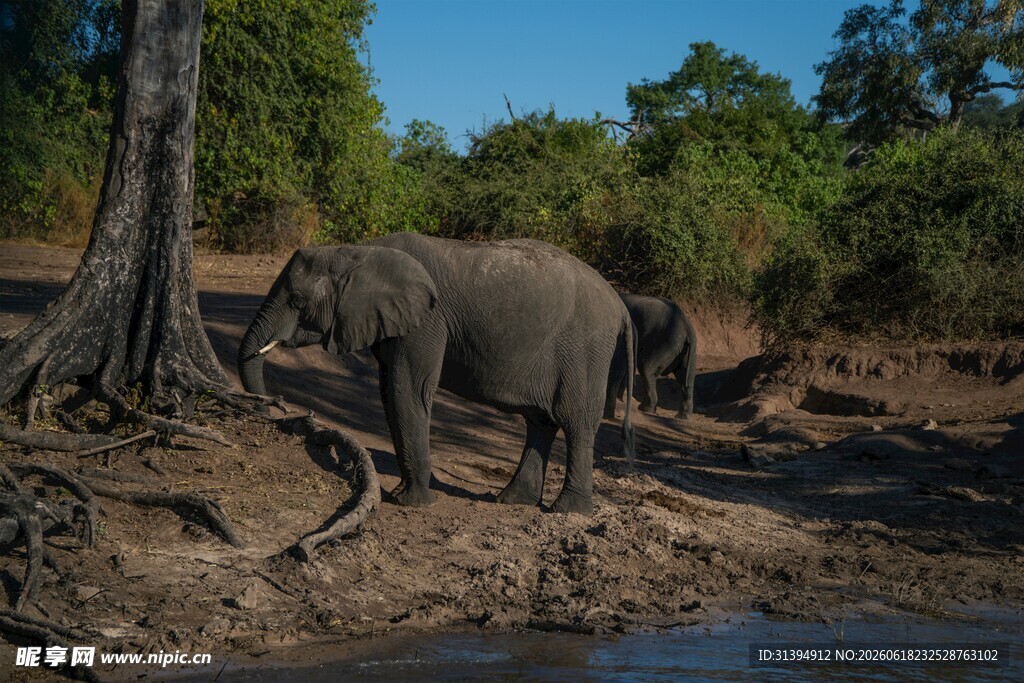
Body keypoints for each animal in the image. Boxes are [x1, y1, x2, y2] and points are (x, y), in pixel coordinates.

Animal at [238, 232, 635, 515]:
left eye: (297, 301)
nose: (276, 406)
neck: (358, 252)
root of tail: (621, 305)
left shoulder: (427, 321)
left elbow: (407, 390)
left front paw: (407, 503)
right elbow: (389, 392)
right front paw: (403, 495)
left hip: (585, 349)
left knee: (575, 421)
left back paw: (569, 512)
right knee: (541, 421)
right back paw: (512, 501)